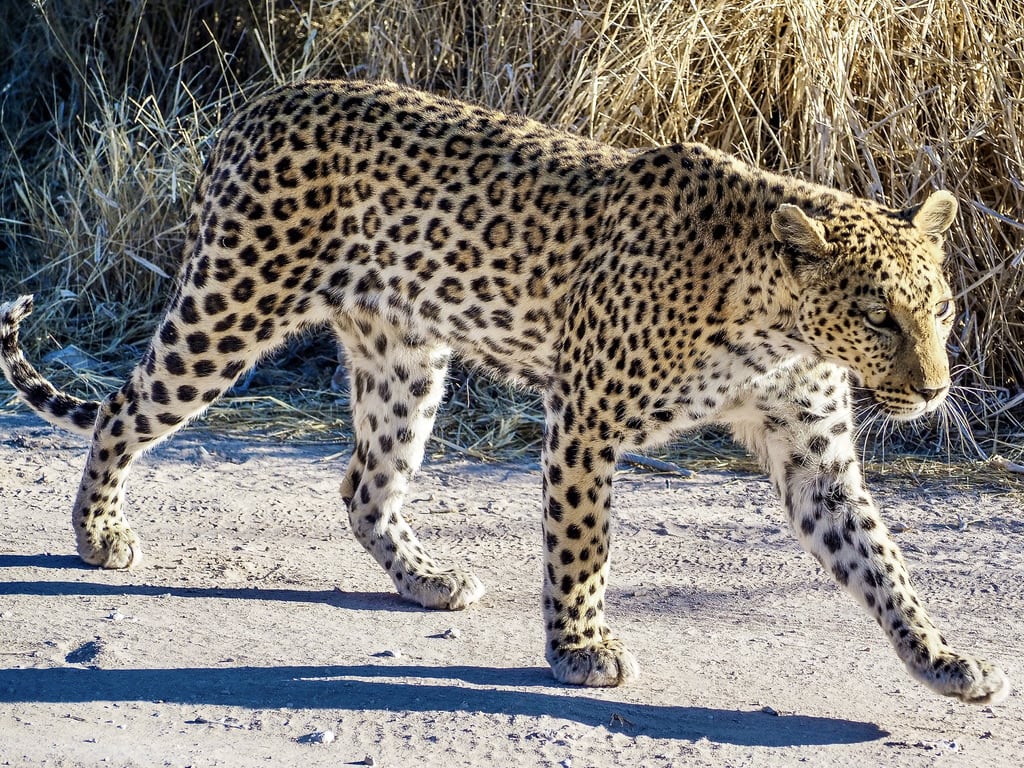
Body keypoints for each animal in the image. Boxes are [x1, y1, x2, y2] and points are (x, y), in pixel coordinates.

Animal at [0, 81, 1007, 708]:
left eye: (938, 307)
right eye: (877, 316)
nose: (933, 389)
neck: (772, 329)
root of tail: (259, 103)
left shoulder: (815, 456)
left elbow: (882, 564)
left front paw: (944, 661)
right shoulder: (587, 420)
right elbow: (583, 546)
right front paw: (580, 649)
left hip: (403, 360)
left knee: (364, 482)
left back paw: (427, 578)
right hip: (229, 307)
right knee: (124, 410)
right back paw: (97, 535)